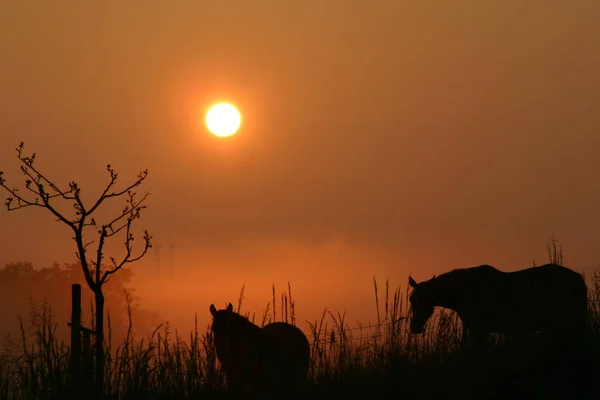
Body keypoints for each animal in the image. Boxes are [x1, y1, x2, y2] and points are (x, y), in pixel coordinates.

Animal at [408, 264, 584, 352]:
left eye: (425, 300)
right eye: (411, 300)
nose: (414, 326)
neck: (464, 289)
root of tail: (578, 279)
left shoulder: (480, 329)